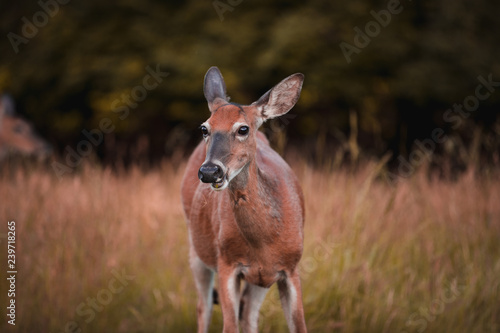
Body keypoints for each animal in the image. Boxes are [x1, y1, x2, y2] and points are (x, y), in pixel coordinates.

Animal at [180, 67, 304, 332]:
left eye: (243, 129)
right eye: (204, 128)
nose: (209, 171)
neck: (264, 242)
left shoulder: (290, 268)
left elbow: (299, 326)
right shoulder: (227, 262)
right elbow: (229, 325)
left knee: (248, 314)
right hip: (196, 249)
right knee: (204, 307)